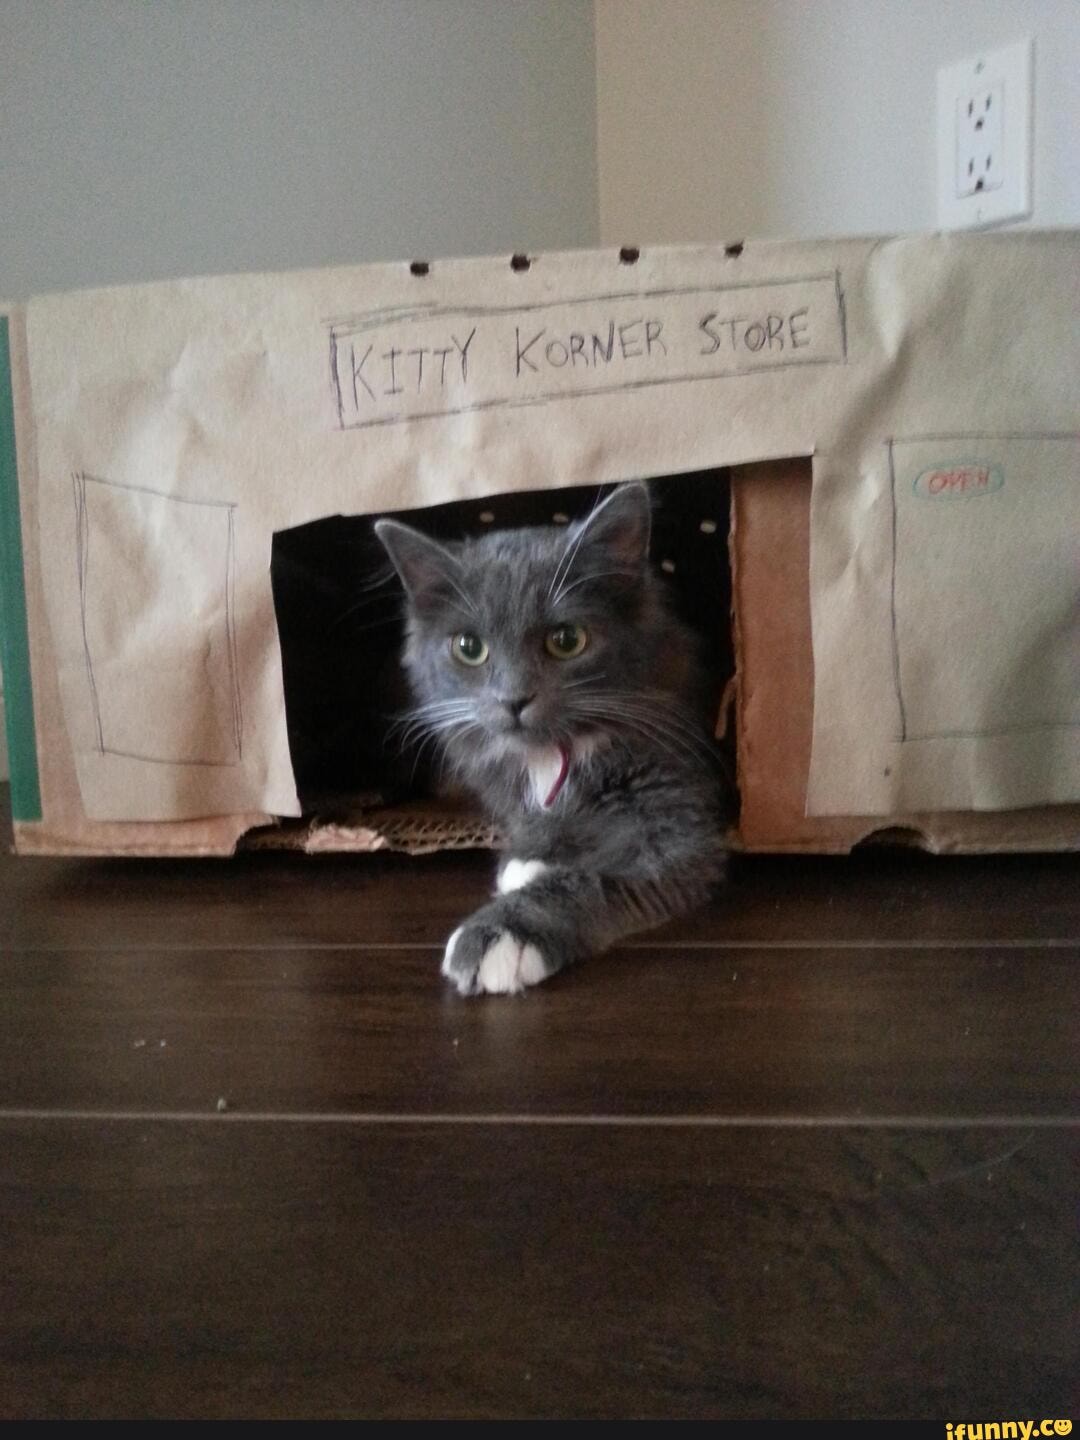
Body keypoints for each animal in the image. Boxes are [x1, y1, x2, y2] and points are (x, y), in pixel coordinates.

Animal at [375, 482, 729, 995]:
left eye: (567, 640)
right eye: (469, 648)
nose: (513, 699)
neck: (552, 752)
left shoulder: (676, 822)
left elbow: (592, 880)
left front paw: (504, 931)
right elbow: (537, 823)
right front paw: (530, 857)